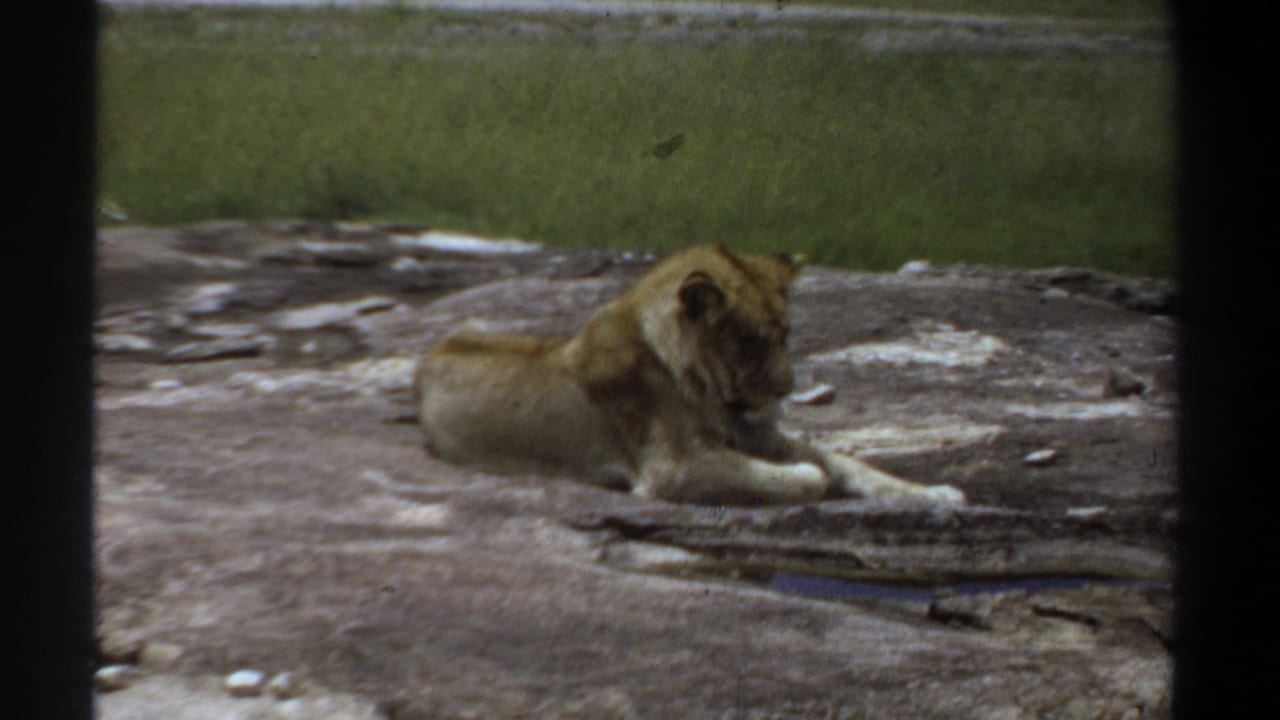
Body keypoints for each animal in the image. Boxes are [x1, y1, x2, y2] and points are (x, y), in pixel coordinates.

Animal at [414, 245, 965, 507]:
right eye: (750, 341)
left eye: (785, 334)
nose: (786, 388)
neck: (705, 385)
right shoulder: (675, 466)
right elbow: (797, 475)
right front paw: (811, 477)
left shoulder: (757, 434)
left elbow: (850, 463)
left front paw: (935, 494)